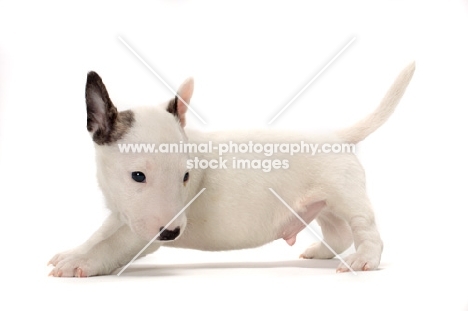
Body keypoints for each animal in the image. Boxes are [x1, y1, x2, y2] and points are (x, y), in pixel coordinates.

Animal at [48, 62, 414, 276]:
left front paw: (79, 263)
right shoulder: (123, 213)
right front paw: (75, 251)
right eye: (138, 176)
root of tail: (337, 136)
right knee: (337, 232)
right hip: (324, 204)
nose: (171, 233)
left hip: (345, 195)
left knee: (364, 227)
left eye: (185, 177)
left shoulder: (140, 232)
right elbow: (100, 234)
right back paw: (321, 251)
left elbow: (111, 245)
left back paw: (364, 259)